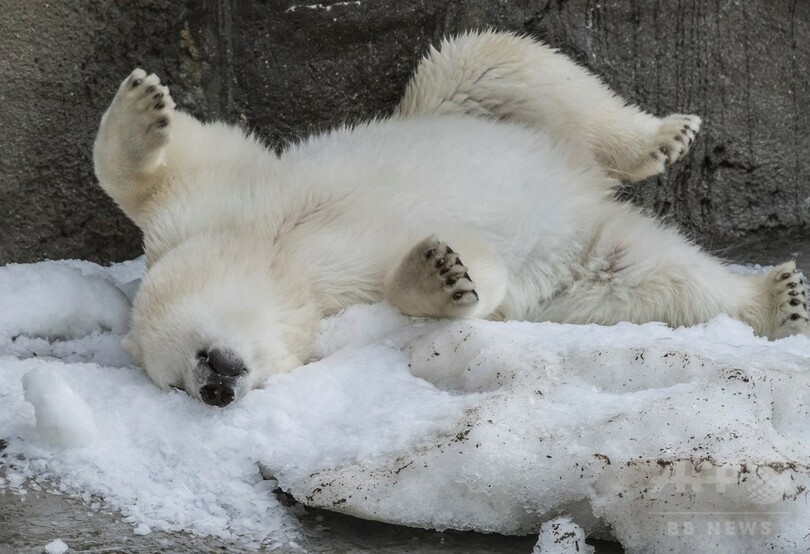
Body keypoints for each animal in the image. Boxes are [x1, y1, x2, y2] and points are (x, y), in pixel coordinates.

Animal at [93, 30, 809, 407]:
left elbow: (185, 161)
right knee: (652, 275)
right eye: (172, 385)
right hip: (584, 265)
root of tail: (581, 188)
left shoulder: (223, 203)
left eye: (189, 361)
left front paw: (142, 103)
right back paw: (776, 296)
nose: (215, 387)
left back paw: (663, 138)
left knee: (492, 62)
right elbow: (477, 285)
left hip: (467, 110)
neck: (277, 259)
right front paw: (444, 270)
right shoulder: (340, 308)